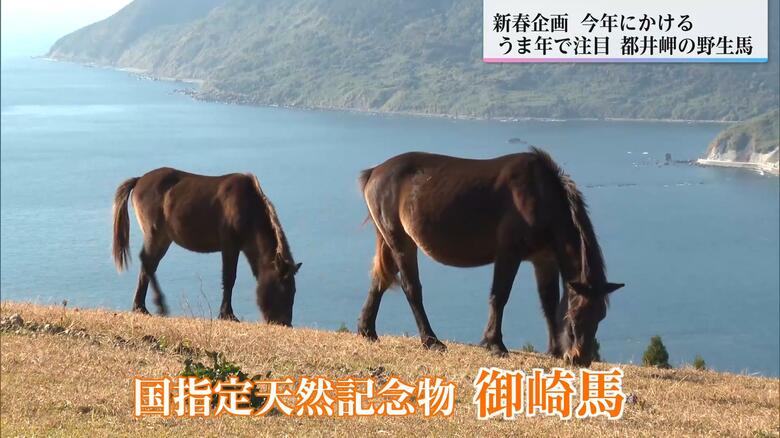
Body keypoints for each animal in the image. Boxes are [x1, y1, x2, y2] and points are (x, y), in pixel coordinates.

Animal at [112, 167, 301, 325]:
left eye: (293, 291)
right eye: (282, 289)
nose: (285, 323)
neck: (248, 208)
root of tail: (139, 180)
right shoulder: (229, 245)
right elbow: (229, 278)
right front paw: (227, 314)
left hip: (164, 238)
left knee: (149, 265)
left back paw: (142, 307)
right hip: (155, 234)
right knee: (147, 262)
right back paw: (156, 305)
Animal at [356, 148, 623, 365]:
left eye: (601, 315)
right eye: (576, 314)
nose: (581, 359)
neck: (541, 195)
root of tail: (374, 172)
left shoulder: (544, 260)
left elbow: (548, 302)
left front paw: (555, 350)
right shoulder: (508, 253)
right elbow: (500, 296)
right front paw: (495, 344)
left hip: (388, 240)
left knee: (380, 280)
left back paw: (367, 330)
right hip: (402, 242)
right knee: (411, 288)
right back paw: (431, 340)